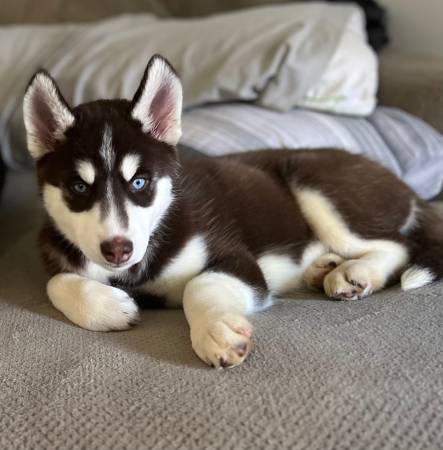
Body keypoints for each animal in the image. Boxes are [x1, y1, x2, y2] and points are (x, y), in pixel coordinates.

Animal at [23, 54, 443, 368]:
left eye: (140, 182)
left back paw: (356, 271)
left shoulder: (236, 257)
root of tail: (397, 180)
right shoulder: (54, 249)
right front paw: (108, 306)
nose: (117, 250)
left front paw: (216, 331)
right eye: (79, 188)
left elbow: (200, 284)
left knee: (396, 245)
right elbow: (55, 282)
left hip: (317, 186)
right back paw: (322, 267)